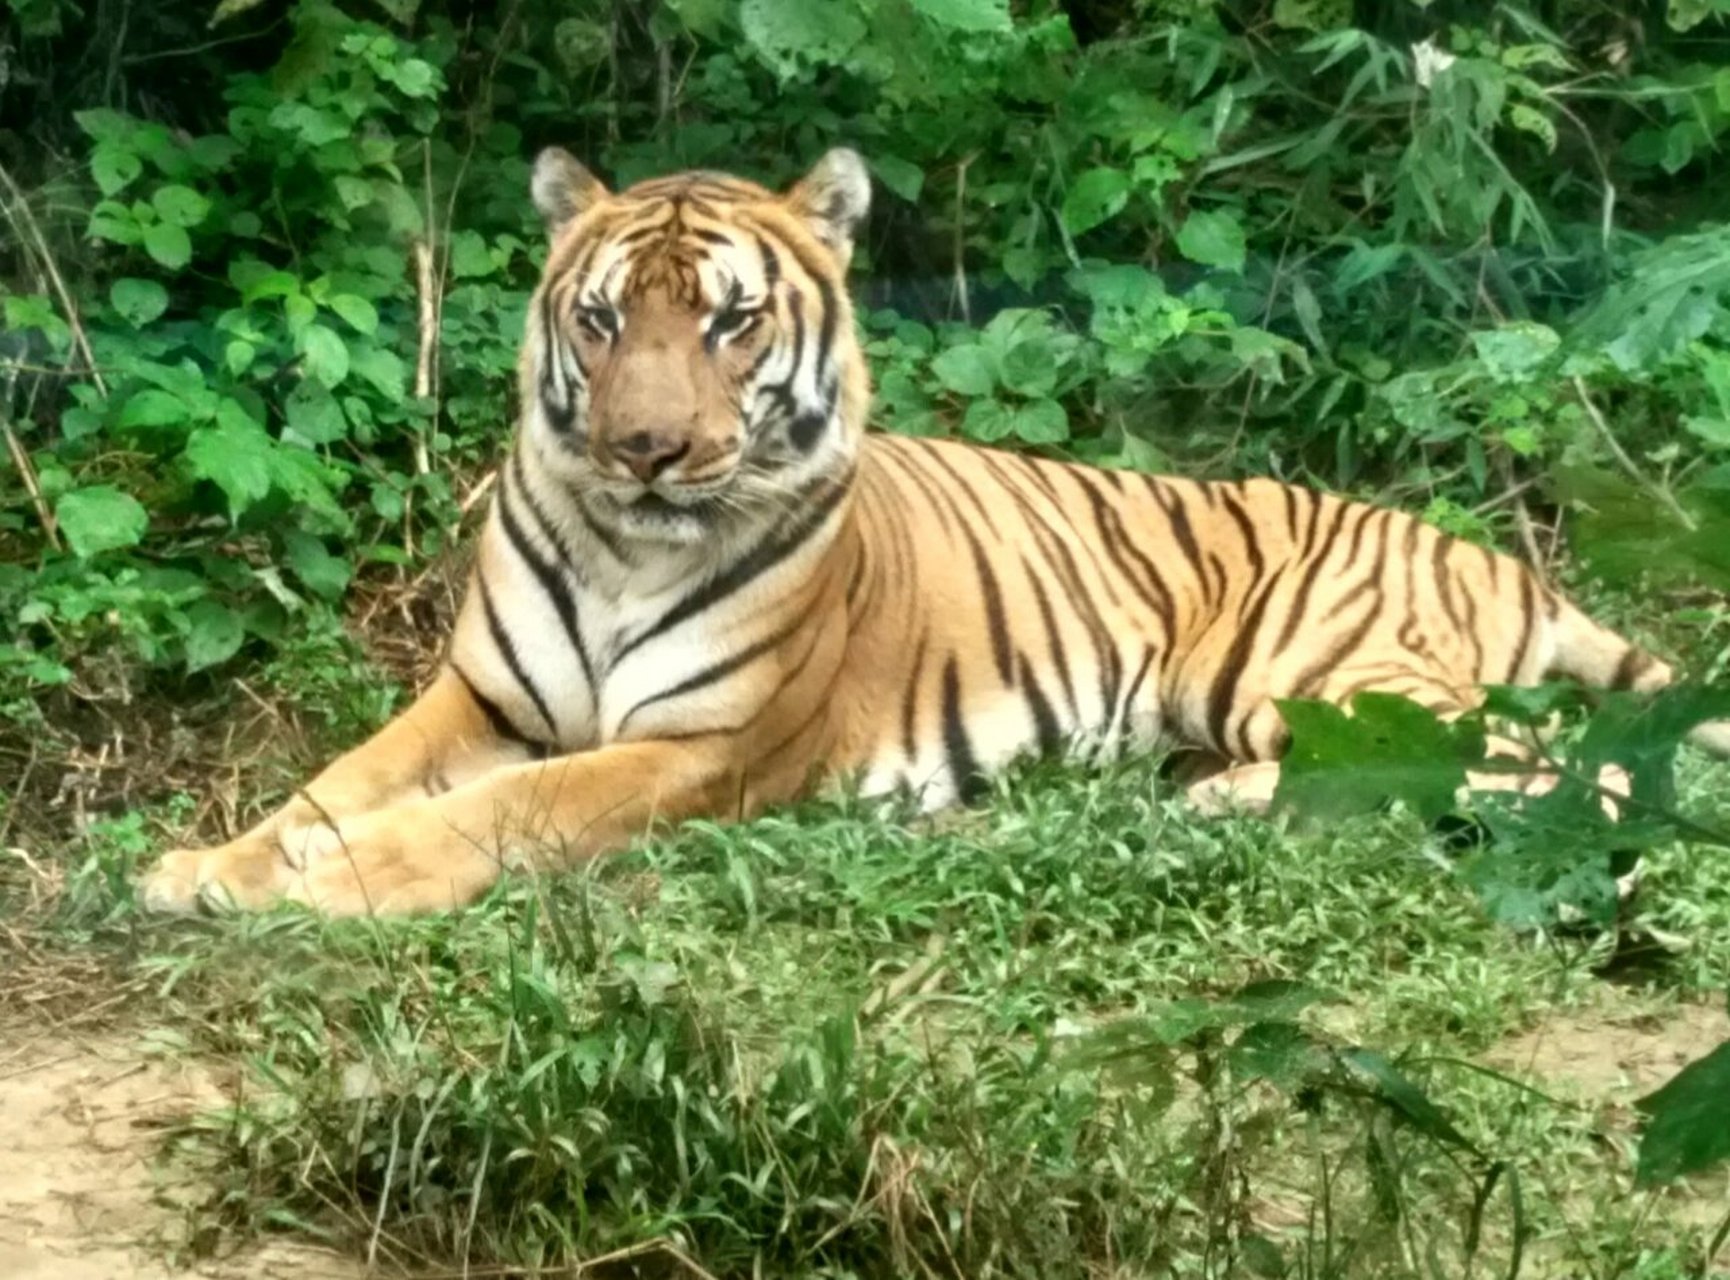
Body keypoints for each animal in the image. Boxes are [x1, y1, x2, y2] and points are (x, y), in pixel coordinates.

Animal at [141, 147, 1730, 916]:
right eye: (600, 321)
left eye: (727, 323)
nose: (647, 451)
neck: (621, 546)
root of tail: (1484, 552)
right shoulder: (482, 699)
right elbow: (338, 781)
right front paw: (208, 868)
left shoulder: (696, 748)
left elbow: (496, 813)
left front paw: (335, 887)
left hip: (1309, 667)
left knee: (1533, 767)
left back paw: (1215, 805)